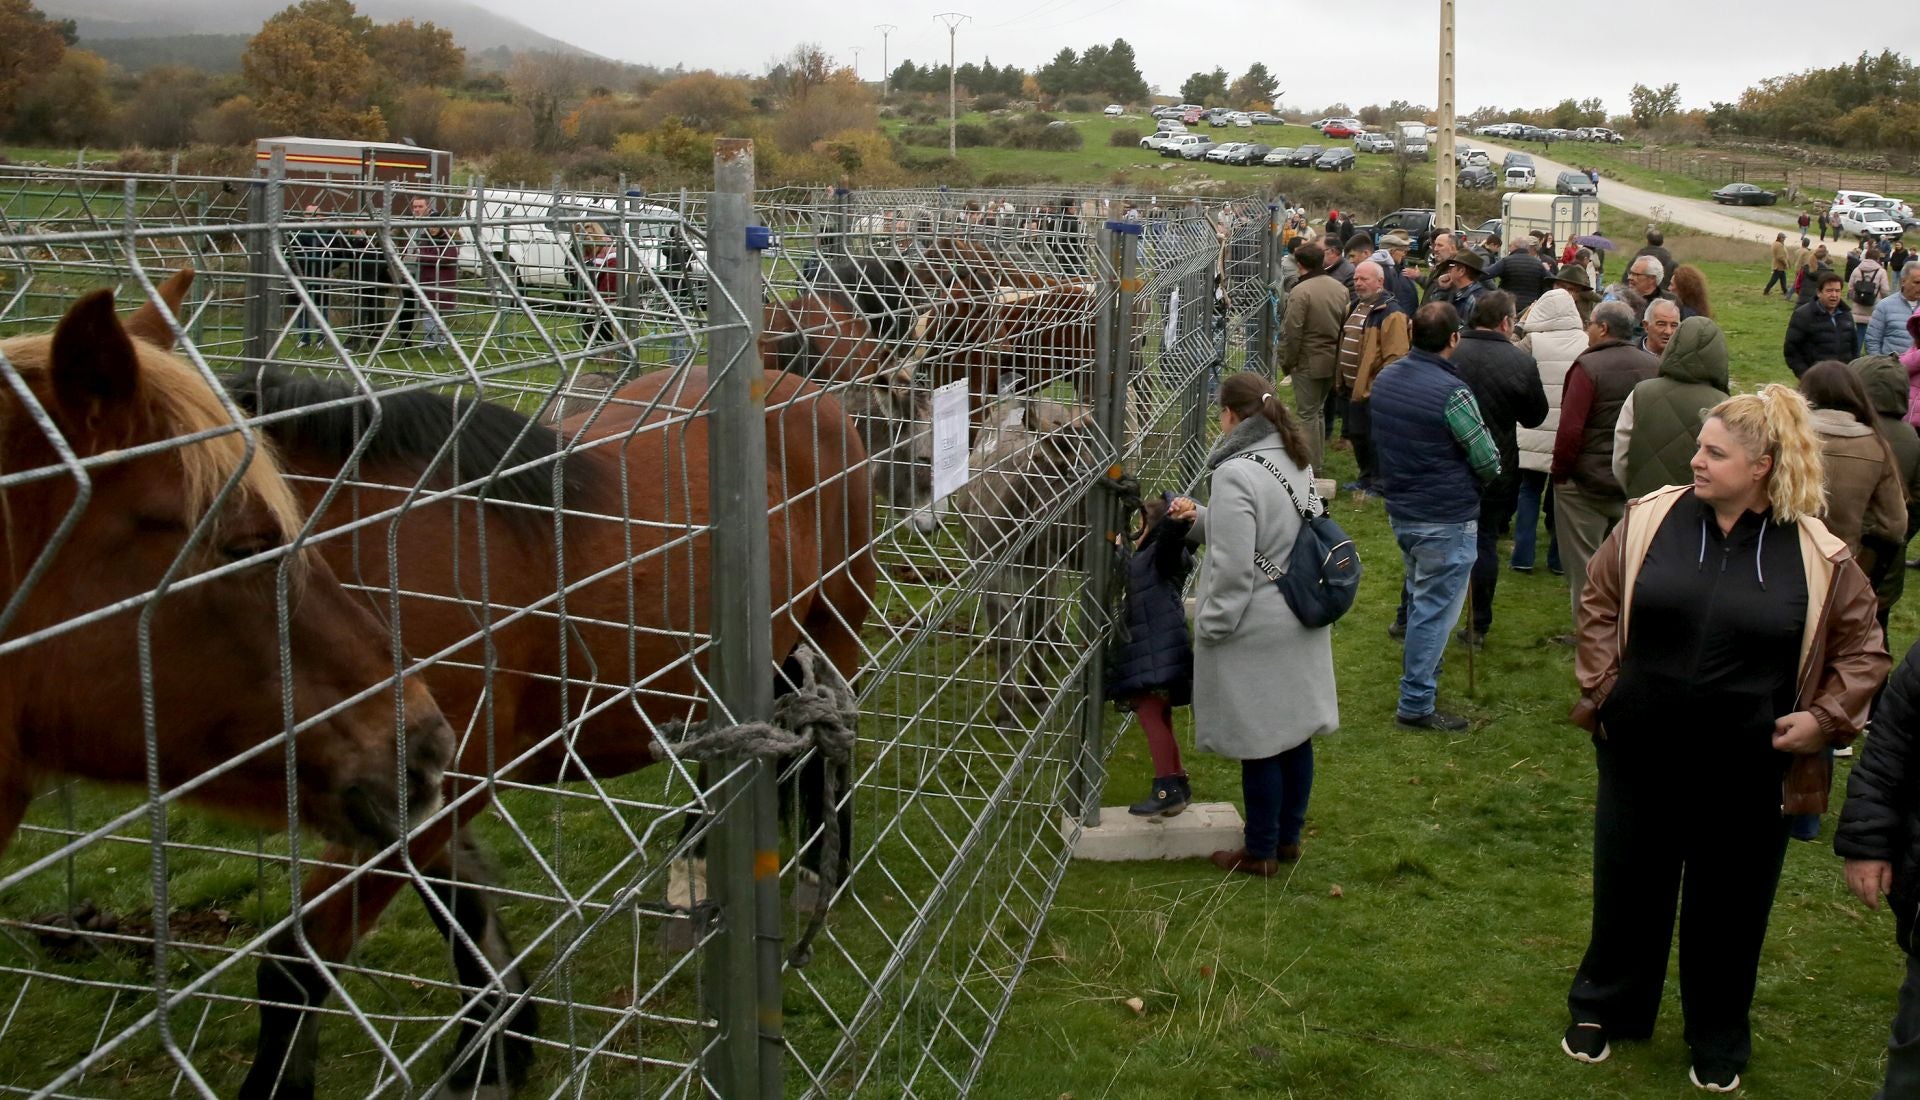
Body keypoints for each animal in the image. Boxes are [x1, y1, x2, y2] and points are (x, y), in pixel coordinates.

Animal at [224, 297, 879, 1098]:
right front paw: (495, 1045)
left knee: (823, 753)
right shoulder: (418, 787)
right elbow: (462, 909)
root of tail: (800, 389)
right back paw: (693, 876)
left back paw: (819, 872)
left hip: (834, 622)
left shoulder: (438, 784)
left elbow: (294, 966)